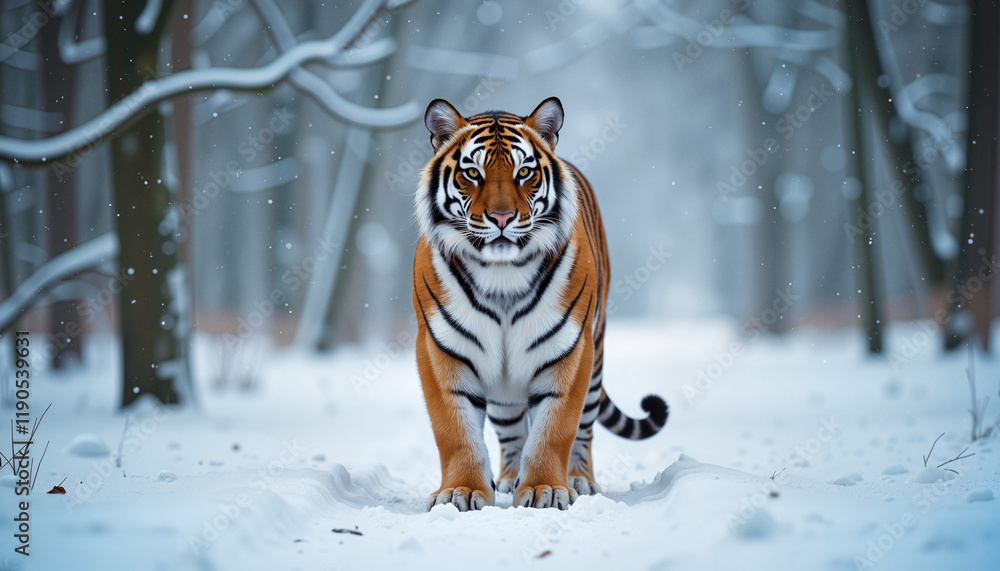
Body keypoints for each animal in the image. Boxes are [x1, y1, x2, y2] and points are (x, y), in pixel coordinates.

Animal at [412, 97, 668, 511]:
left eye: (524, 172)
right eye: (472, 173)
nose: (501, 217)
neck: (501, 276)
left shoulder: (570, 348)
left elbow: (555, 428)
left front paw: (544, 489)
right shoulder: (439, 349)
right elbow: (455, 431)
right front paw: (461, 491)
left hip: (595, 355)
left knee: (584, 430)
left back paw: (580, 481)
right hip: (503, 386)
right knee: (512, 431)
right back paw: (508, 479)